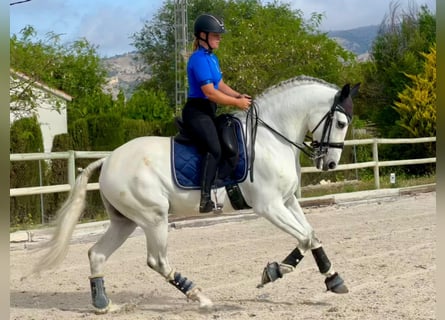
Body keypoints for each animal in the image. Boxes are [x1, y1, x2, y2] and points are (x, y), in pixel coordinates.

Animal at [31, 75, 360, 312]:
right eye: (341, 122)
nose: (330, 164)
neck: (271, 138)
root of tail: (109, 159)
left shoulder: (288, 201)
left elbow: (312, 235)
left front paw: (333, 279)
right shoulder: (269, 206)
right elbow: (303, 237)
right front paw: (274, 271)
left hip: (125, 221)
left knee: (97, 254)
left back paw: (103, 304)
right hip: (153, 218)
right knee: (157, 261)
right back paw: (199, 297)